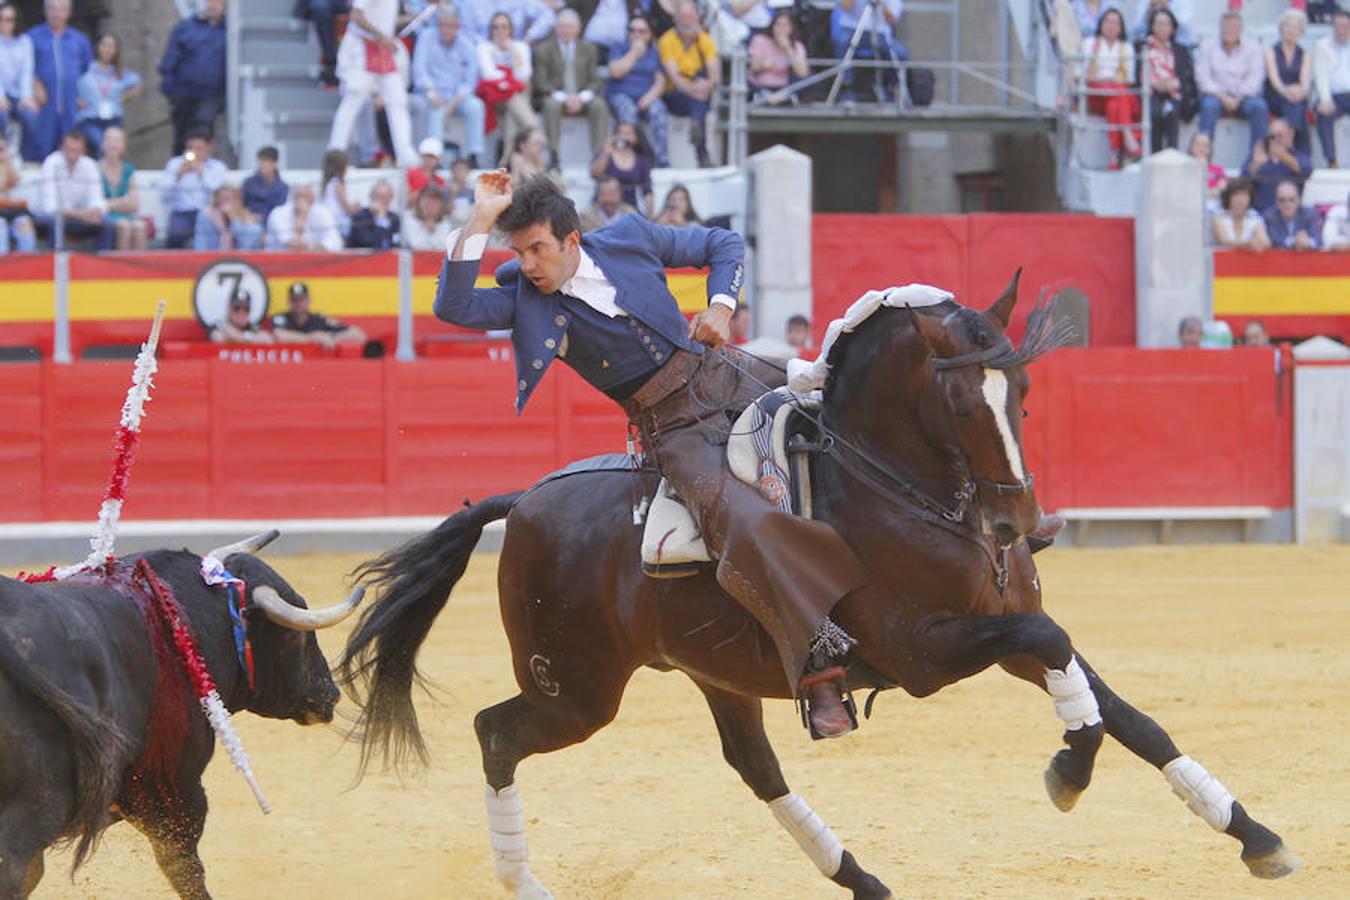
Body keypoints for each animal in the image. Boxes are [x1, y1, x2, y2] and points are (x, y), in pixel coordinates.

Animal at [337, 276, 1296, 900]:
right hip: (576, 689)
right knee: (496, 733)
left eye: (1022, 388)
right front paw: (1067, 773)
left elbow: (1121, 710)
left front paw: (1257, 837)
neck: (897, 486)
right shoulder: (922, 655)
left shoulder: (1008, 622)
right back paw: (526, 882)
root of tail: (526, 499)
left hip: (711, 672)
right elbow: (1068, 670)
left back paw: (864, 880)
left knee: (754, 766)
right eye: (961, 404)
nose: (1018, 522)